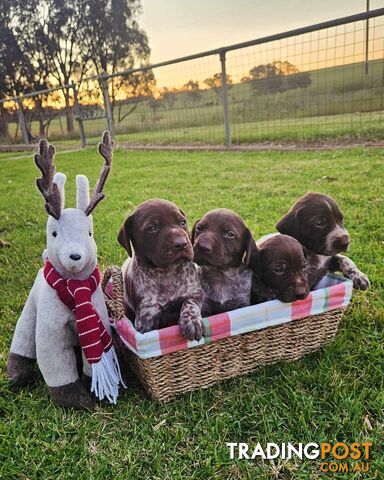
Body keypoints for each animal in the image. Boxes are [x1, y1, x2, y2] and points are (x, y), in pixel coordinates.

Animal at [118, 199, 206, 342]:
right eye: (152, 228)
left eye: (182, 222)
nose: (181, 244)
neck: (166, 272)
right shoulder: (147, 317)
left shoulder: (195, 292)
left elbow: (190, 303)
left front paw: (192, 321)